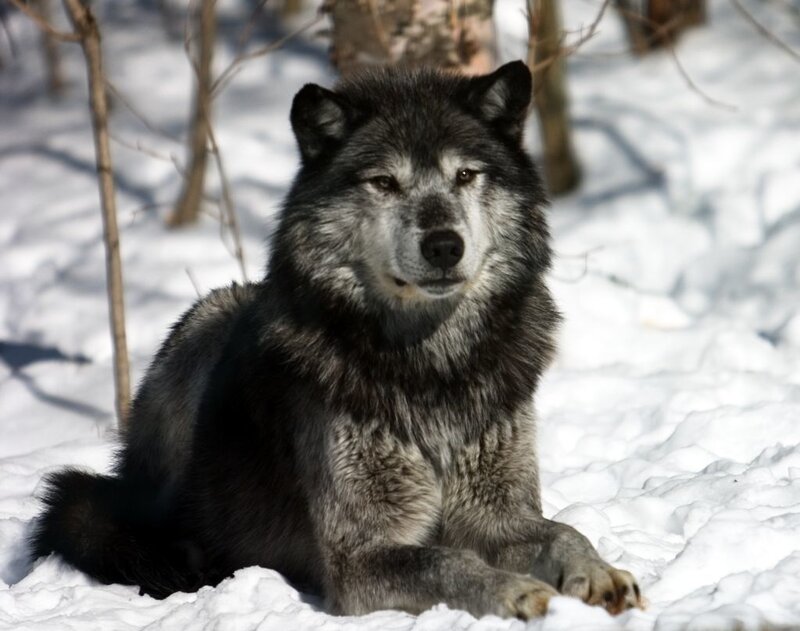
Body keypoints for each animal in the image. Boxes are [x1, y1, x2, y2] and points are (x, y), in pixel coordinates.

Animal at [31, 61, 641, 619]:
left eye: (466, 176)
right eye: (384, 183)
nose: (444, 245)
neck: (432, 366)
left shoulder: (498, 515)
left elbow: (564, 531)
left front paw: (599, 573)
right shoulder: (358, 559)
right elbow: (448, 560)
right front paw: (515, 592)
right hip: (208, 320)